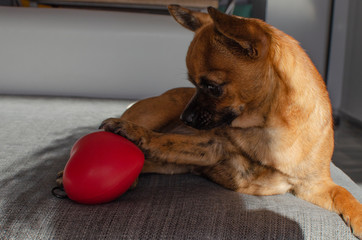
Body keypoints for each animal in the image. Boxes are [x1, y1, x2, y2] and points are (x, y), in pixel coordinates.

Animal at [99, 5, 362, 238]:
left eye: (212, 87)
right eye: (194, 84)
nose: (185, 119)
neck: (266, 128)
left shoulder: (315, 185)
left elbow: (345, 194)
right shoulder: (212, 146)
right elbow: (169, 139)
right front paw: (136, 132)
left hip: (171, 163)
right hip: (163, 109)